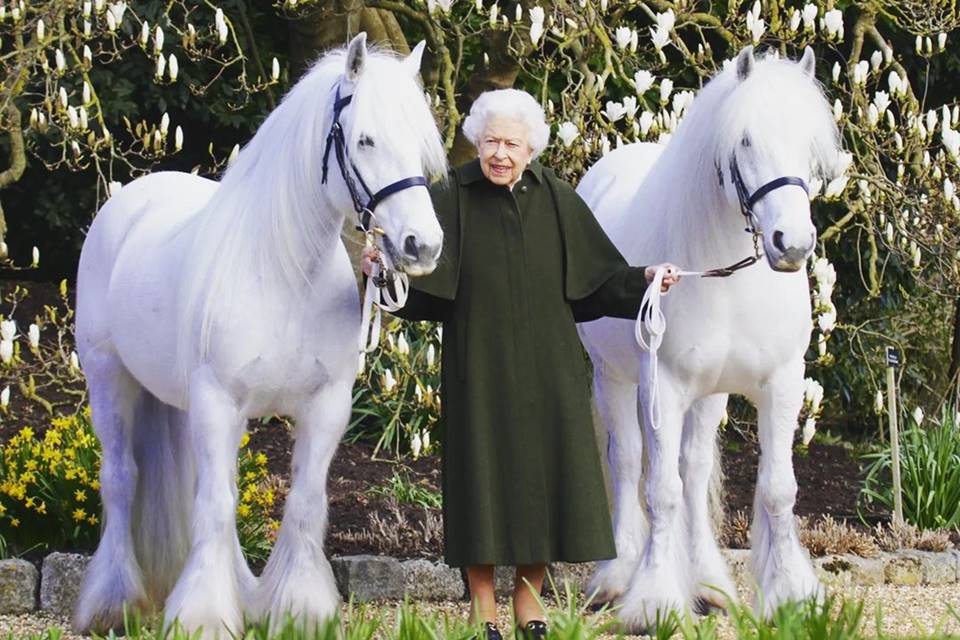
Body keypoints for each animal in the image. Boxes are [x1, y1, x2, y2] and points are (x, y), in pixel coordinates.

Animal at [72, 36, 446, 640]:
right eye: (365, 139)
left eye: (418, 144)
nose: (423, 245)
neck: (284, 274)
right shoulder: (218, 401)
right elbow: (216, 506)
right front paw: (202, 615)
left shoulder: (326, 406)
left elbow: (304, 502)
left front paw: (299, 609)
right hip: (109, 378)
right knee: (122, 479)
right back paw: (112, 603)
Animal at [576, 46, 840, 632]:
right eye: (744, 141)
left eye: (809, 144)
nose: (793, 244)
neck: (729, 278)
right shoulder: (664, 387)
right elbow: (660, 490)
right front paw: (653, 600)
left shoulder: (781, 384)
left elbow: (776, 489)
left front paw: (790, 595)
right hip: (614, 379)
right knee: (628, 461)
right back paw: (618, 575)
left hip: (710, 394)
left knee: (694, 471)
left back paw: (708, 583)